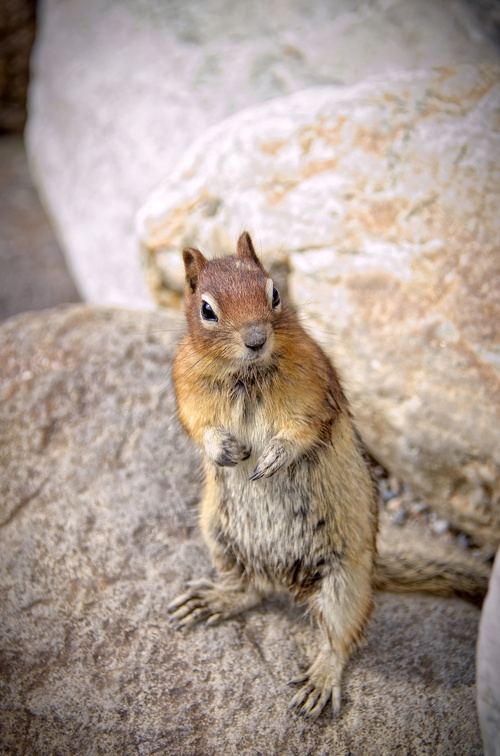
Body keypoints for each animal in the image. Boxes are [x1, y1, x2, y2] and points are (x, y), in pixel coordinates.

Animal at [169, 232, 492, 720]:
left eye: (275, 293)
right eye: (207, 309)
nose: (256, 339)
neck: (248, 373)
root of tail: (282, 578)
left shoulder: (313, 385)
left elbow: (303, 429)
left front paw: (272, 459)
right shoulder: (186, 382)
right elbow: (197, 423)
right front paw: (226, 450)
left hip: (344, 580)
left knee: (339, 636)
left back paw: (320, 679)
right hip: (219, 536)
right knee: (249, 590)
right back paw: (214, 597)